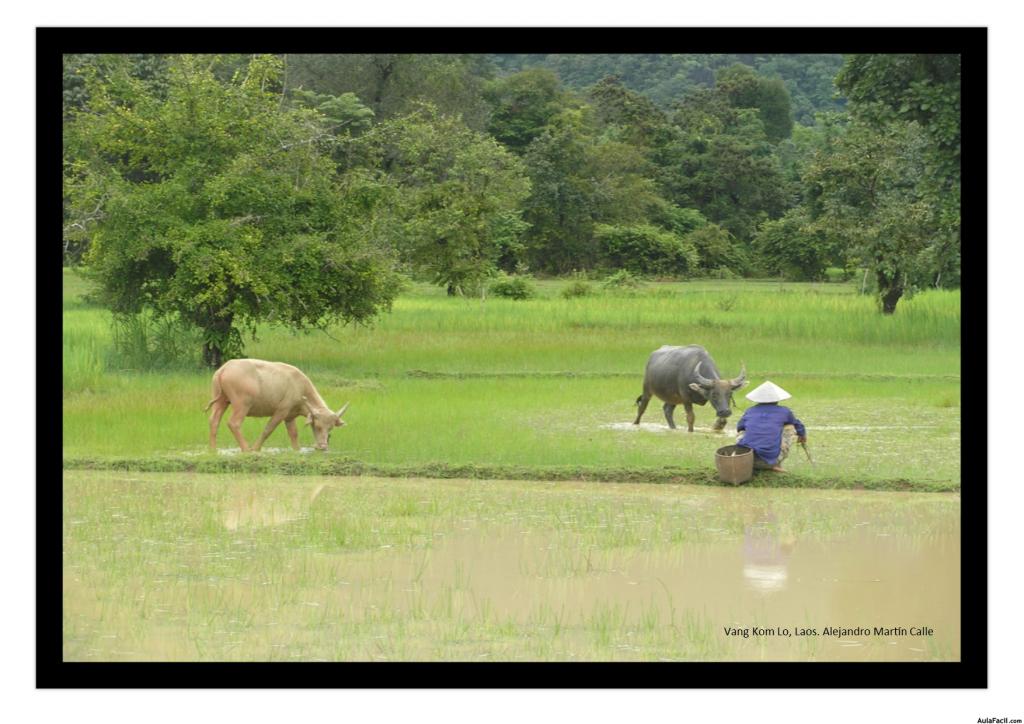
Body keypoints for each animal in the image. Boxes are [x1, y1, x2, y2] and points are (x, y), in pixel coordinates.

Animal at [205, 358, 350, 452]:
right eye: (317, 426)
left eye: (330, 428)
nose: (323, 447)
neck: (300, 387)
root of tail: (224, 369)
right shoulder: (282, 411)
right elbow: (268, 429)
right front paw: (256, 449)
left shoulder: (290, 416)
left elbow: (293, 434)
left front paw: (297, 450)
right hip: (242, 405)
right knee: (233, 423)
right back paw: (246, 449)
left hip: (221, 401)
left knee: (214, 421)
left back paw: (213, 450)